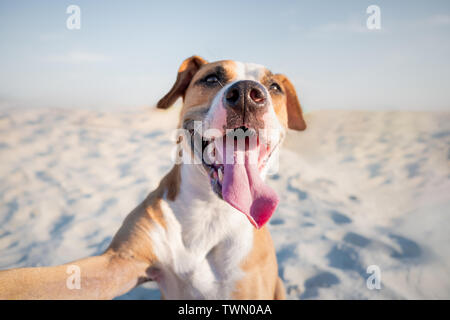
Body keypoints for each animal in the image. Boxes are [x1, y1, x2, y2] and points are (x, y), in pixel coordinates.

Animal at [0, 56, 306, 298]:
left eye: (274, 87)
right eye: (212, 78)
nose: (245, 94)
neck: (210, 209)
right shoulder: (117, 264)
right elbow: (27, 280)